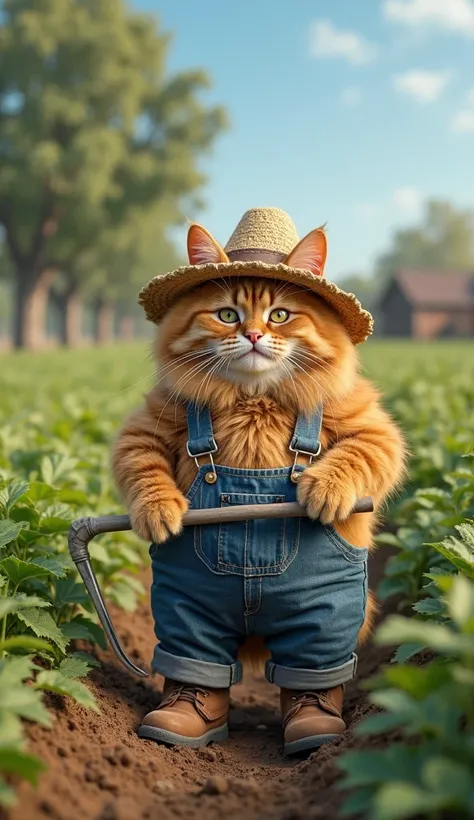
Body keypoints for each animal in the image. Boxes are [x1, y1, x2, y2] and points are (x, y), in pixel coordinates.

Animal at [113, 226, 406, 672]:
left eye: (280, 316)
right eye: (227, 316)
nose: (252, 335)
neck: (254, 399)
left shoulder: (373, 430)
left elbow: (354, 457)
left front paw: (325, 491)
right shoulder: (144, 428)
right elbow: (144, 470)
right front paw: (159, 511)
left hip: (326, 617)